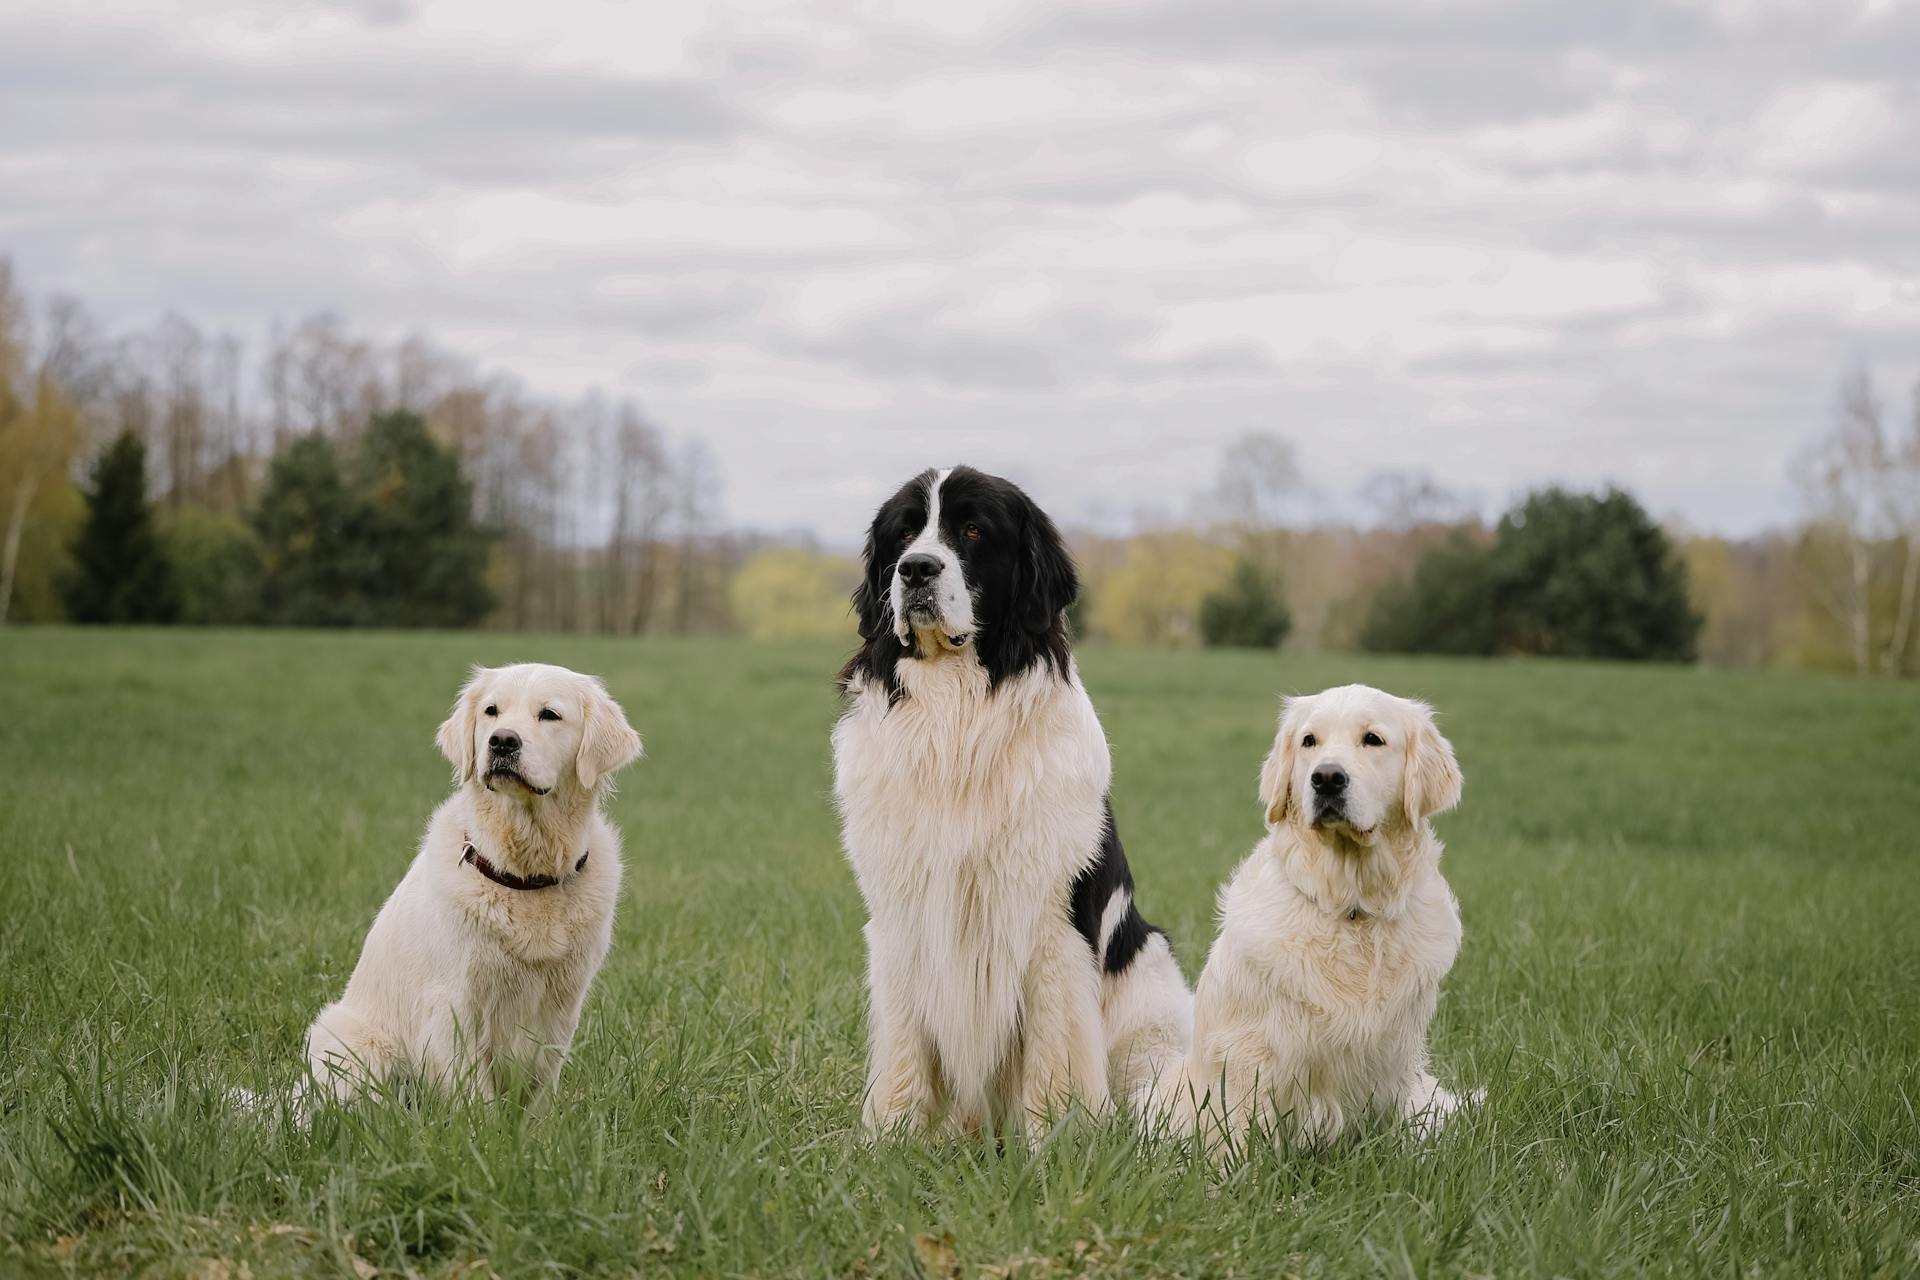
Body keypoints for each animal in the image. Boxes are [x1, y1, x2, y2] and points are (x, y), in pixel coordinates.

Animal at [303, 667, 641, 1105]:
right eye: (491, 711)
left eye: (550, 714)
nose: (502, 741)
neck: (525, 875)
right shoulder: (454, 1005)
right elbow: (477, 1100)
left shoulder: (561, 1008)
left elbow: (538, 1098)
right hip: (355, 1044)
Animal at [833, 466, 1190, 1136]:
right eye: (904, 533)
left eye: (974, 531)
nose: (916, 569)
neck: (957, 716)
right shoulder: (901, 913)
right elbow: (904, 1049)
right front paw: (891, 1140)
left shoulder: (1049, 923)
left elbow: (1054, 1059)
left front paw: (1056, 1141)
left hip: (1152, 992)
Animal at [1167, 687, 1466, 1159]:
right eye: (1309, 741)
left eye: (1373, 739)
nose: (1326, 778)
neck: (1351, 906)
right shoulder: (1251, 1051)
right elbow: (1242, 1131)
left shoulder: (1394, 1057)